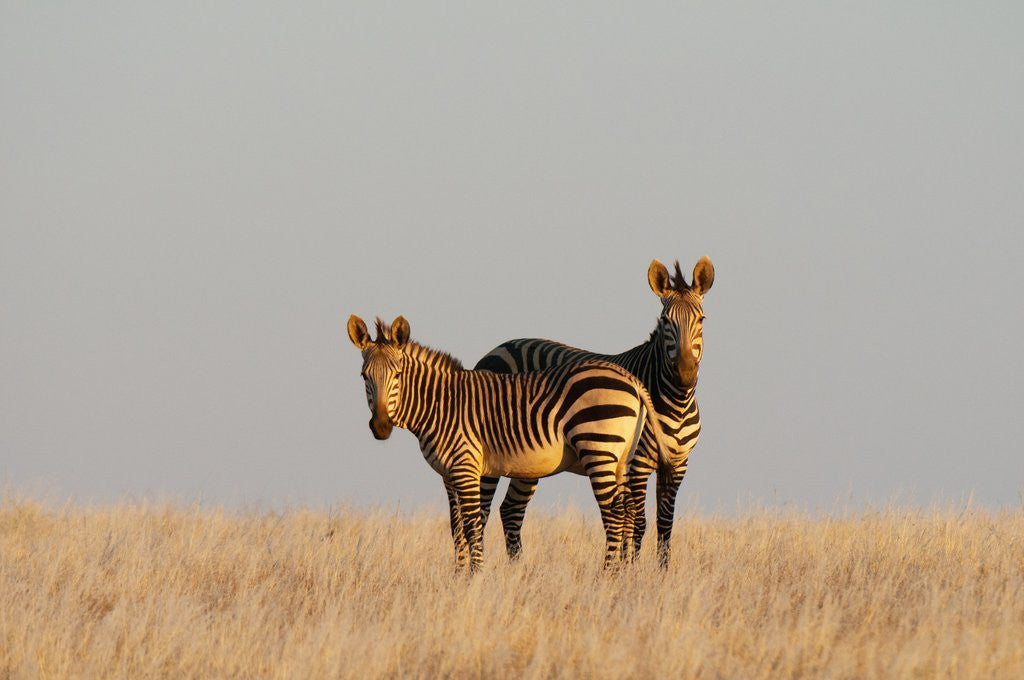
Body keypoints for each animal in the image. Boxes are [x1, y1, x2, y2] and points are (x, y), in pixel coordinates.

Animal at [346, 314, 670, 572]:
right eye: (364, 376)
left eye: (398, 375)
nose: (381, 426)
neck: (441, 405)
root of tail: (631, 379)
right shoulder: (448, 474)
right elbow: (455, 527)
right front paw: (458, 575)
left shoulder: (465, 466)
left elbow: (472, 525)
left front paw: (475, 576)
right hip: (621, 457)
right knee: (627, 511)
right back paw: (623, 574)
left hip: (598, 449)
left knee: (613, 513)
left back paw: (606, 575)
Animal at [474, 256, 714, 566]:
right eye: (665, 322)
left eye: (701, 320)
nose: (684, 374)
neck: (677, 403)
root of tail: (500, 347)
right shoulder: (637, 464)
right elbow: (637, 523)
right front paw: (632, 569)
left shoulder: (677, 464)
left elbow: (665, 524)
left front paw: (661, 572)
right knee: (482, 509)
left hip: (528, 458)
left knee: (511, 510)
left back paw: (518, 569)